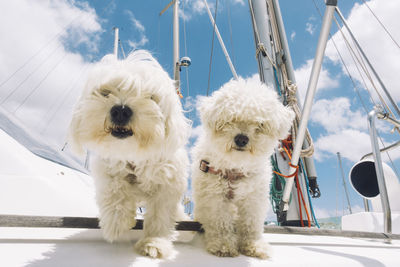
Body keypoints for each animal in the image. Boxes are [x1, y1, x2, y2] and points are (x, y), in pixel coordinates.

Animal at [68, 50, 190, 260]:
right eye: (105, 92)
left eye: (150, 96)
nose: (121, 111)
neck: (134, 153)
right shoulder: (106, 167)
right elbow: (114, 188)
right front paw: (115, 223)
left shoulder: (169, 183)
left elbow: (160, 215)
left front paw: (154, 243)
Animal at [192, 77, 296, 260]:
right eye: (230, 120)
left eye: (260, 124)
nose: (241, 139)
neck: (235, 166)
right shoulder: (215, 198)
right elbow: (220, 223)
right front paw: (224, 246)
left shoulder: (253, 199)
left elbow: (251, 225)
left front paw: (253, 245)